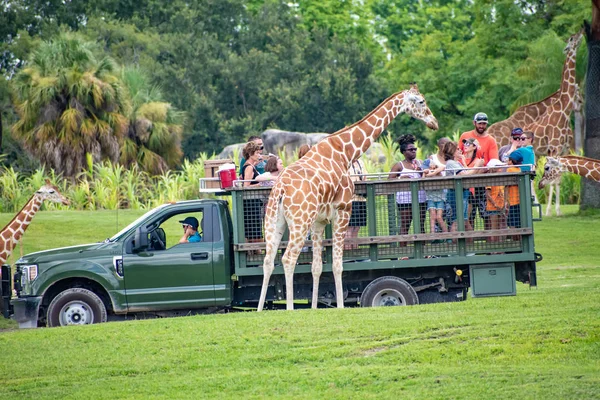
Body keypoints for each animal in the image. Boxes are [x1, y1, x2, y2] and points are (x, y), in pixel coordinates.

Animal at [255, 85, 438, 312]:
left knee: (268, 260)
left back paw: (260, 310)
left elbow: (317, 266)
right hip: (299, 221)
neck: (345, 151)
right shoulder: (343, 211)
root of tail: (280, 189)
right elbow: (337, 264)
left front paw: (314, 308)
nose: (434, 123)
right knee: (288, 258)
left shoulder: (318, 221)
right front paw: (341, 306)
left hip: (274, 221)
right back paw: (289, 308)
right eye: (421, 101)